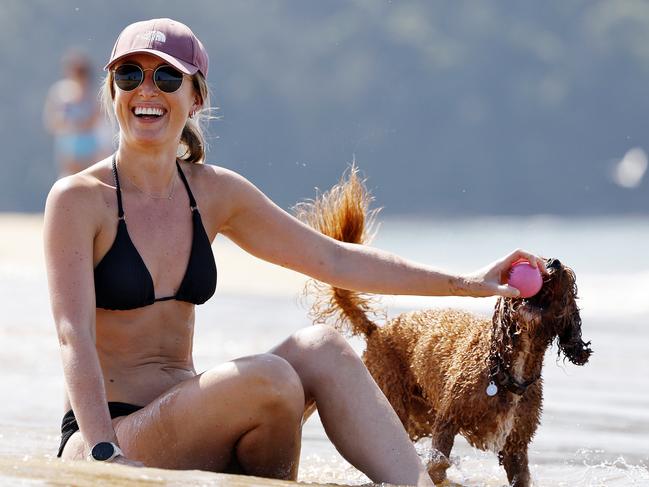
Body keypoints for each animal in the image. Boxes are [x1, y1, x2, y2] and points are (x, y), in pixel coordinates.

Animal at [296, 166, 588, 486]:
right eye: (540, 260)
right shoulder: (448, 419)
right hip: (394, 401)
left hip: (419, 417)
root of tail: (378, 330)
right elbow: (438, 463)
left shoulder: (516, 446)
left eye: (568, 279)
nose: (555, 262)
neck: (507, 367)